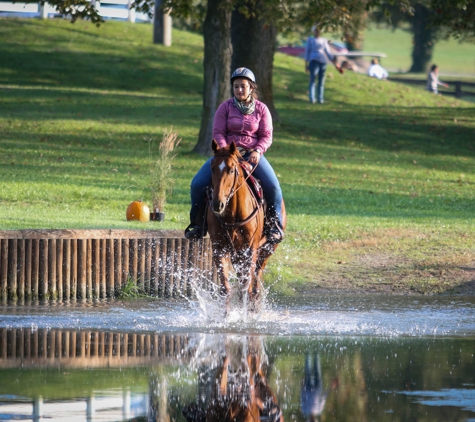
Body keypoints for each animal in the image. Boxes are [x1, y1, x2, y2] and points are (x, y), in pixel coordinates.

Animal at [207, 140, 286, 308]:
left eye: (231, 170)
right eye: (212, 169)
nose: (217, 204)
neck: (232, 216)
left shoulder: (250, 250)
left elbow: (247, 289)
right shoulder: (219, 249)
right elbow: (225, 289)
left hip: (266, 250)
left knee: (254, 287)